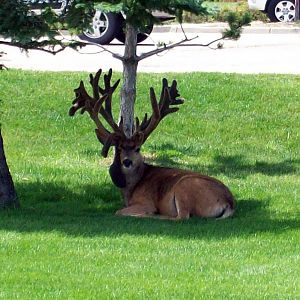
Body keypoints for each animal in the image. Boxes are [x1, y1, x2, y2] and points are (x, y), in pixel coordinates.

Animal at [69, 69, 236, 220]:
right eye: (120, 148)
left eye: (138, 148)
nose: (127, 161)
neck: (131, 188)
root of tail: (229, 202)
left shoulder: (145, 201)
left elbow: (118, 211)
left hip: (185, 187)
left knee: (181, 217)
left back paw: (153, 215)